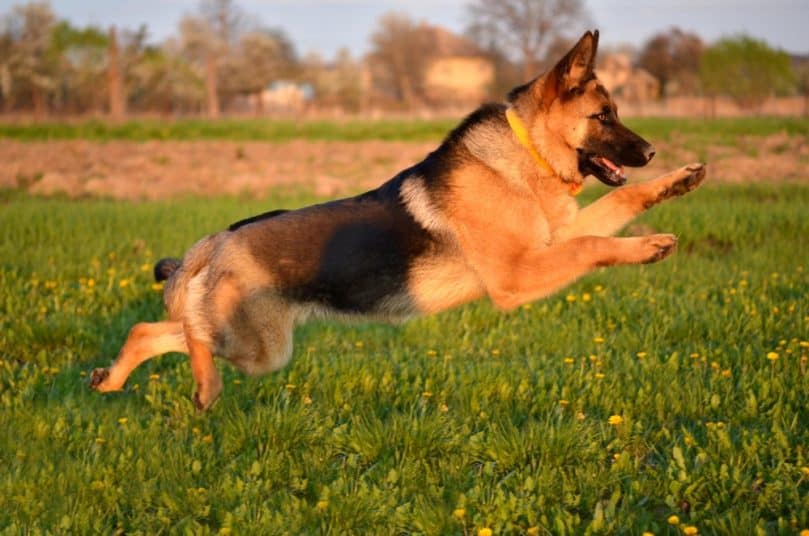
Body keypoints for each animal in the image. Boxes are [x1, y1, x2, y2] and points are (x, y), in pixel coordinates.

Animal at [91, 31, 704, 410]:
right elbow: (593, 245)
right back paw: (204, 386)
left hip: (255, 343)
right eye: (603, 116)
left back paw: (113, 378)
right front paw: (649, 247)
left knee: (152, 329)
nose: (651, 152)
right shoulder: (517, 276)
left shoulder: (549, 241)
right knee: (189, 336)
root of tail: (216, 241)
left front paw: (675, 182)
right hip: (258, 349)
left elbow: (614, 211)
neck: (523, 155)